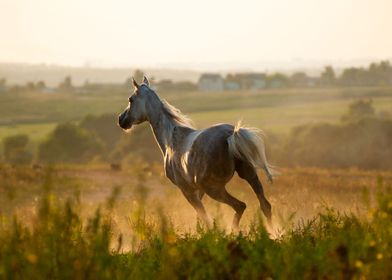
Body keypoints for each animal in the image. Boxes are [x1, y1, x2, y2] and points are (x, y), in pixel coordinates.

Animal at [118, 75, 274, 229]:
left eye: (131, 99)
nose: (121, 119)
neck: (170, 139)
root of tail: (231, 135)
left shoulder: (187, 191)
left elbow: (204, 217)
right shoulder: (199, 190)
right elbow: (199, 218)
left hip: (215, 189)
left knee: (240, 206)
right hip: (249, 176)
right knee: (265, 206)